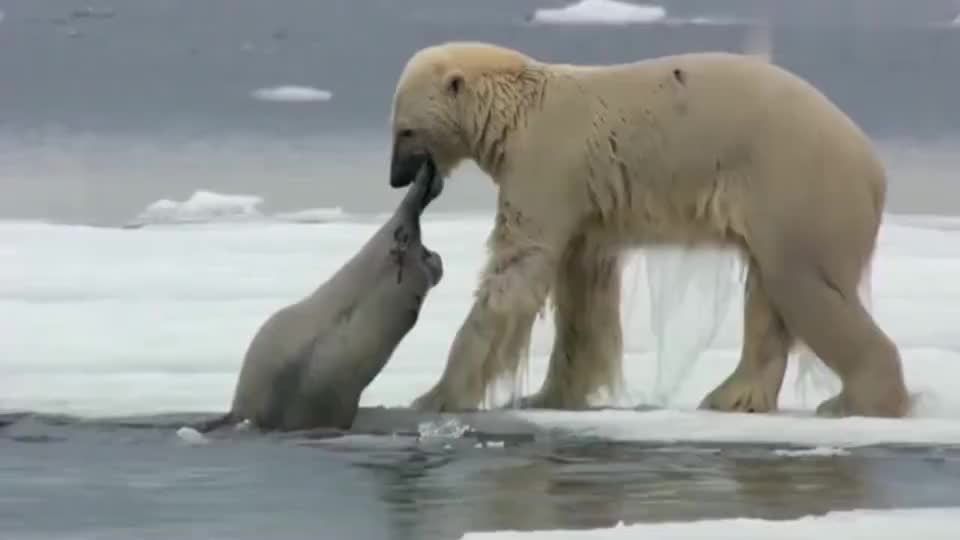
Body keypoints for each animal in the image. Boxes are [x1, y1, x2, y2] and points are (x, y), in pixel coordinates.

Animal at [387, 41, 911, 419]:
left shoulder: (546, 163)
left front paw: (435, 397)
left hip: (797, 186)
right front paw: (549, 395)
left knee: (805, 288)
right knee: (770, 297)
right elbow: (582, 290)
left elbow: (516, 271)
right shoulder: (585, 206)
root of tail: (875, 169)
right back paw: (732, 396)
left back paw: (855, 400)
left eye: (404, 131)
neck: (518, 107)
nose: (395, 178)